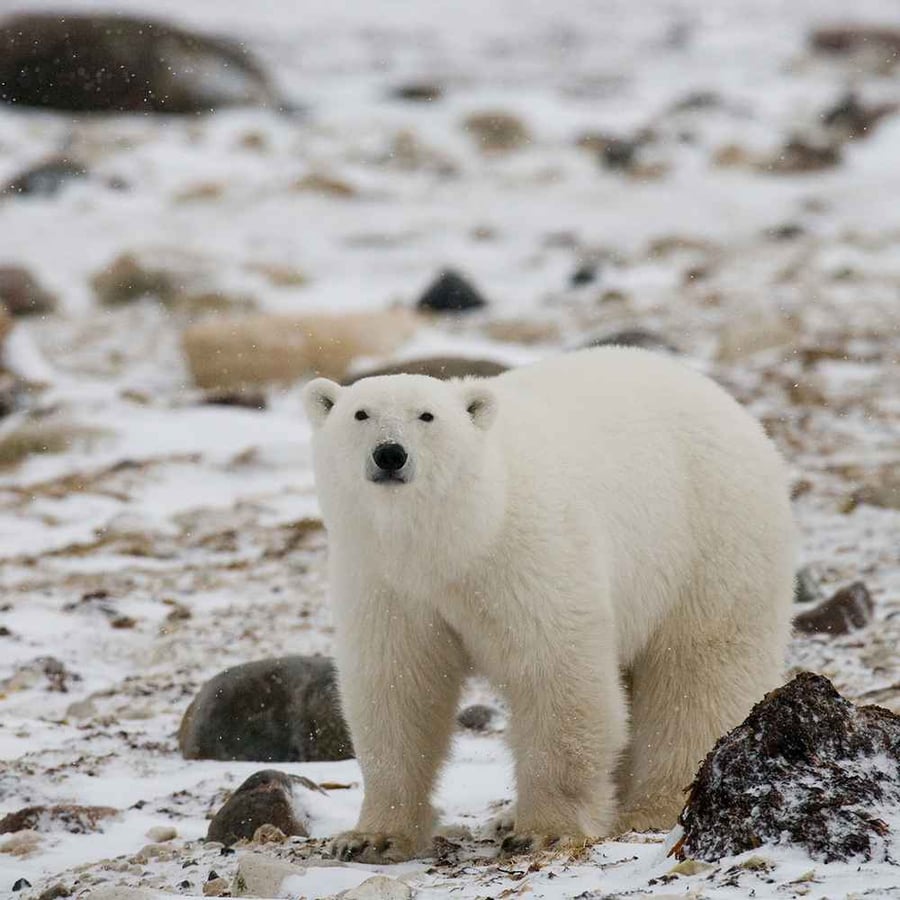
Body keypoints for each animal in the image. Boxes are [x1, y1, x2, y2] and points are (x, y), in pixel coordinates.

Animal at [303, 346, 796, 863]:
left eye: (427, 415)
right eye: (360, 414)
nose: (390, 454)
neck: (461, 536)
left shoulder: (527, 553)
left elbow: (555, 671)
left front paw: (544, 831)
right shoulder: (386, 581)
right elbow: (398, 686)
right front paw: (370, 838)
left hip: (711, 539)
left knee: (697, 673)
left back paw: (653, 807)